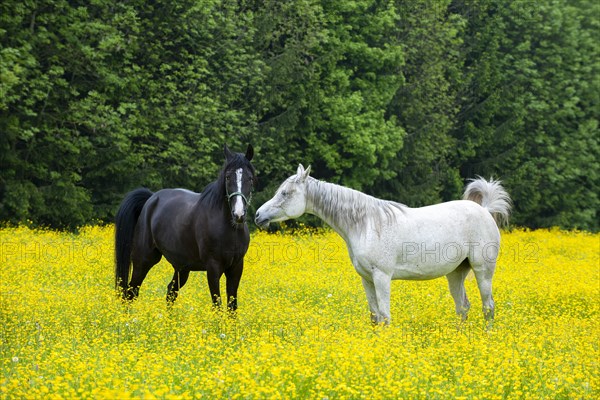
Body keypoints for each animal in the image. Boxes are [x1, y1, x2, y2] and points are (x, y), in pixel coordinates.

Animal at [113, 145, 254, 310]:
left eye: (250, 178)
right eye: (227, 177)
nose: (239, 214)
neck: (229, 229)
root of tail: (151, 199)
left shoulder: (236, 268)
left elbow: (232, 308)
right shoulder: (213, 268)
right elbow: (217, 306)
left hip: (182, 268)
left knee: (170, 293)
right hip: (144, 260)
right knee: (131, 292)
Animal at [253, 165, 510, 324]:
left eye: (285, 193)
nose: (257, 216)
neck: (366, 224)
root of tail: (485, 210)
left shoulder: (382, 277)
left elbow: (385, 316)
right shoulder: (367, 279)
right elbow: (375, 317)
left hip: (483, 271)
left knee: (488, 307)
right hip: (456, 273)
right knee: (463, 308)